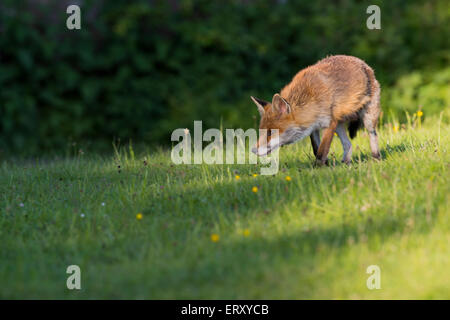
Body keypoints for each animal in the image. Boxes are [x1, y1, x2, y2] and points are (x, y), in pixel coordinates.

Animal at [251, 54, 382, 164]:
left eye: (270, 132)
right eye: (261, 131)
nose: (253, 150)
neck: (310, 99)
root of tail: (363, 63)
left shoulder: (329, 123)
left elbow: (322, 151)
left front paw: (318, 168)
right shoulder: (313, 127)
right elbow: (316, 149)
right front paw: (326, 165)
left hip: (368, 119)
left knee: (373, 136)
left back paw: (376, 158)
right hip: (339, 125)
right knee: (348, 144)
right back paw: (346, 163)